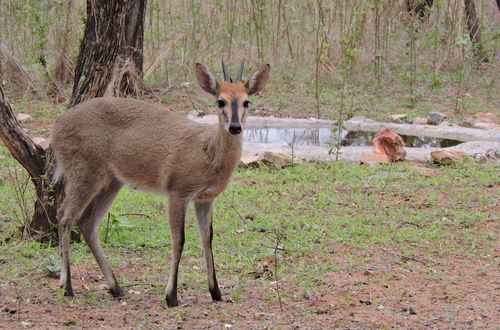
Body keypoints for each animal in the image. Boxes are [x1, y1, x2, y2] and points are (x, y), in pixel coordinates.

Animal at [50, 60, 270, 306]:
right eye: (220, 100)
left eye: (246, 101)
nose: (235, 127)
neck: (208, 153)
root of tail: (56, 126)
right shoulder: (178, 191)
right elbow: (179, 240)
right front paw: (171, 295)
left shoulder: (205, 198)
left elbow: (207, 239)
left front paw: (216, 292)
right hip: (83, 173)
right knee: (65, 217)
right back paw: (67, 287)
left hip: (111, 182)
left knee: (87, 223)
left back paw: (116, 288)